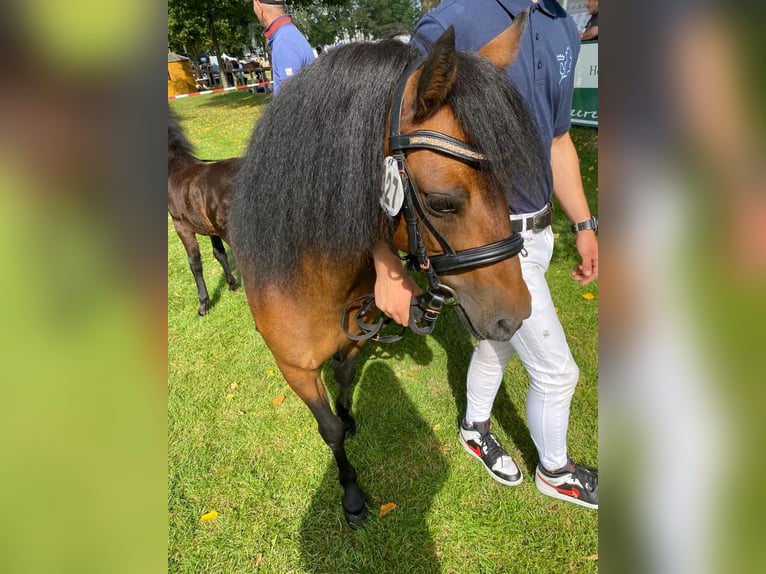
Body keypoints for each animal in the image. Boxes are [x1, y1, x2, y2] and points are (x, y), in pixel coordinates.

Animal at [168, 110, 240, 318]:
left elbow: (194, 262)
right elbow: (219, 254)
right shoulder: (211, 230)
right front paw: (232, 285)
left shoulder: (181, 227)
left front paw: (203, 304)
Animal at [230, 19, 544, 532]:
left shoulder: (358, 335)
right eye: (441, 202)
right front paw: (352, 493)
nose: (515, 315)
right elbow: (329, 430)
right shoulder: (296, 370)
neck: (313, 283)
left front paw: (350, 416)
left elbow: (343, 375)